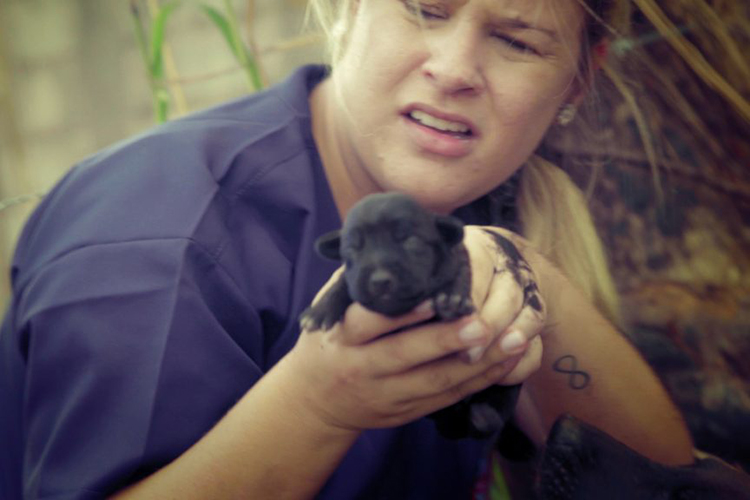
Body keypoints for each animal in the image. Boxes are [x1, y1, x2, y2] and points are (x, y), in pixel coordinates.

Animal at [300, 192, 522, 439]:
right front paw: (321, 310)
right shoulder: (352, 279)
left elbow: (460, 272)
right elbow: (343, 282)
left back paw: (482, 415)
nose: (380, 280)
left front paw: (451, 298)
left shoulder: (457, 257)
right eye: (352, 249)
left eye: (410, 241)